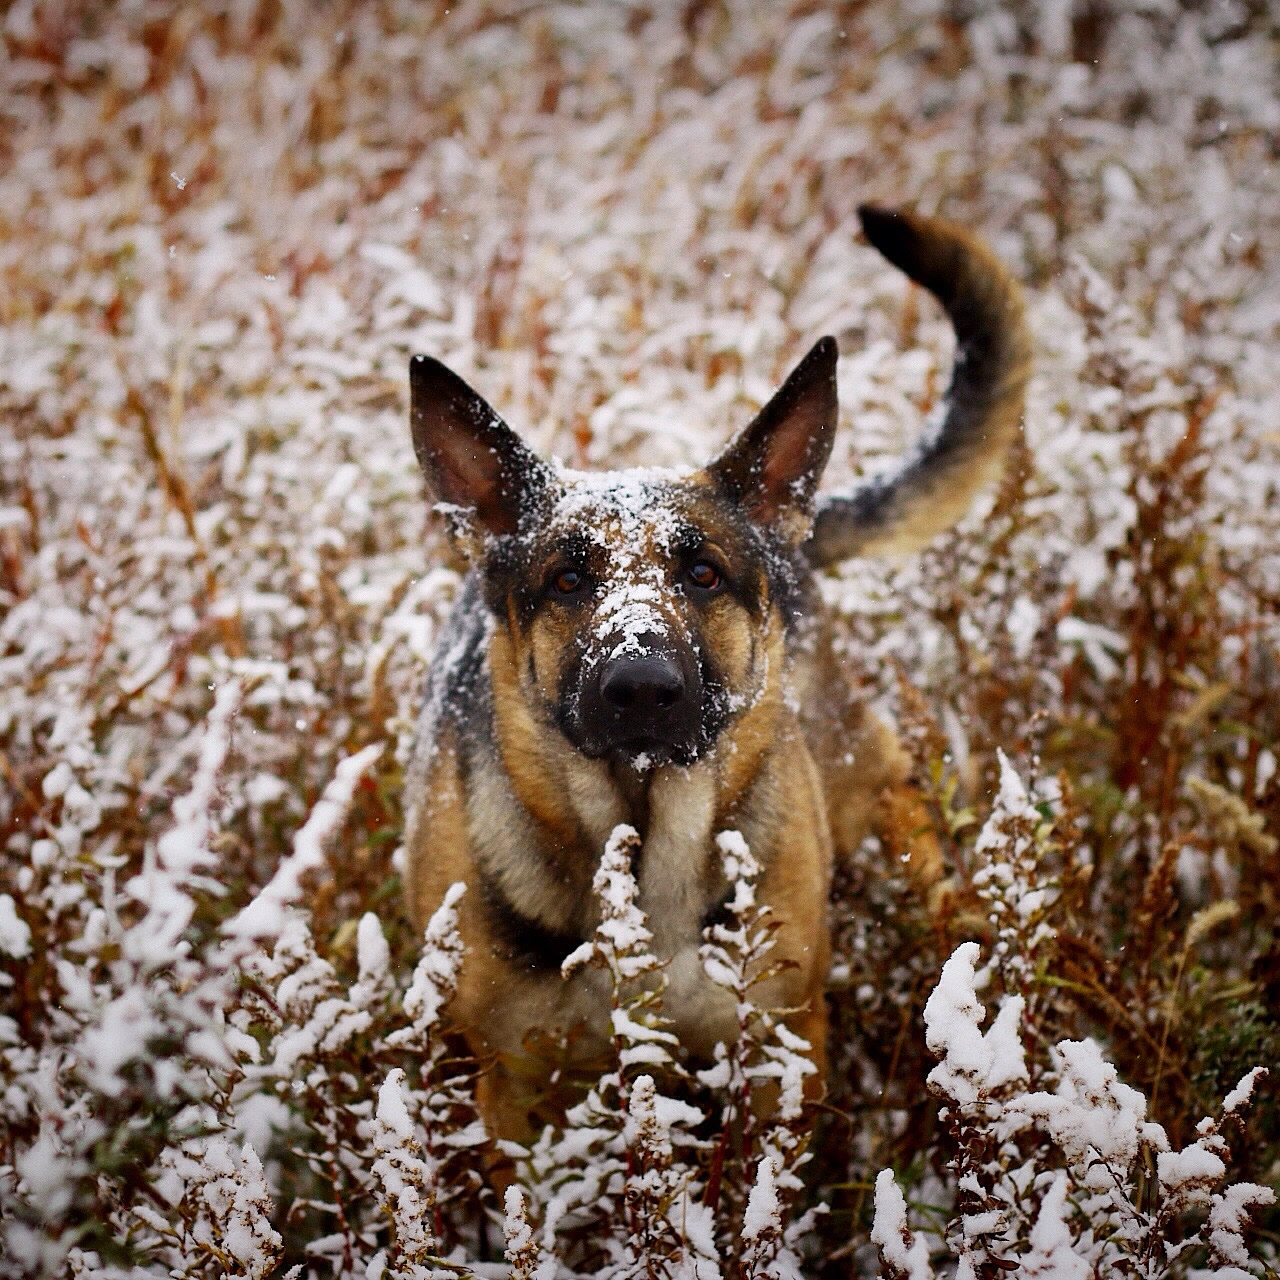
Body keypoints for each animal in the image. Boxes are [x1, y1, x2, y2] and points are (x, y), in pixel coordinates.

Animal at [401, 209, 1029, 1141]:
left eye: (703, 574)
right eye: (566, 580)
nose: (640, 690)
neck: (643, 843)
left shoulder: (779, 1053)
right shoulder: (518, 1088)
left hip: (857, 782)